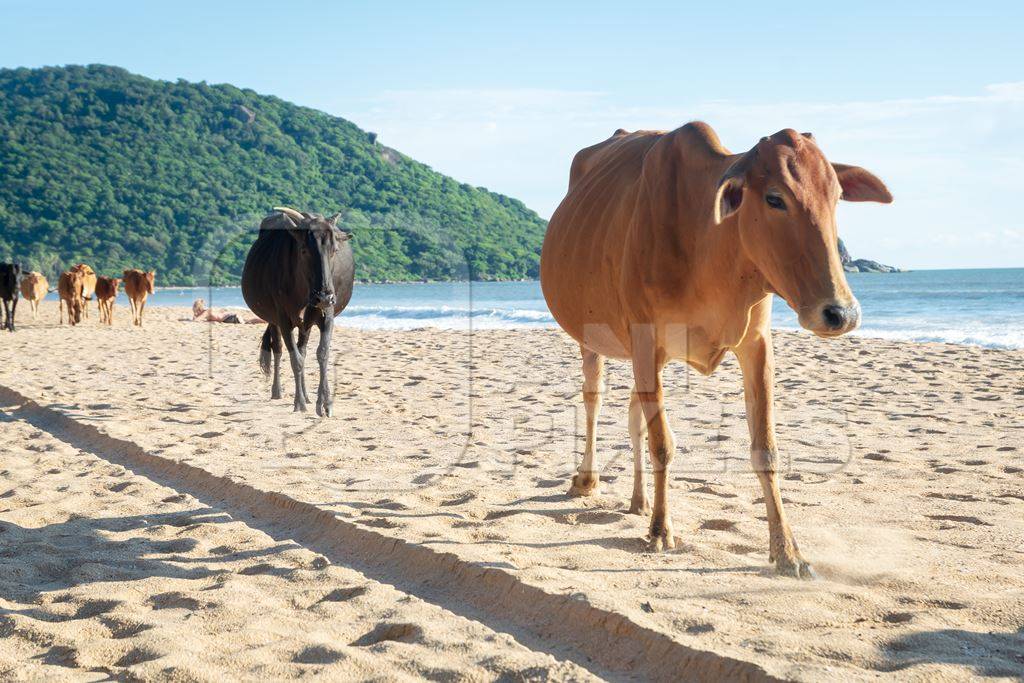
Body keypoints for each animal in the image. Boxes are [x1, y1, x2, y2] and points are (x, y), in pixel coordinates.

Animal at [544, 122, 888, 577]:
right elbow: (663, 444)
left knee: (634, 415)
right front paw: (661, 530)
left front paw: (787, 550)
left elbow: (765, 448)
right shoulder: (645, 340)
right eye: (774, 198)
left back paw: (640, 501)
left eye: (835, 196)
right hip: (593, 339)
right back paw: (587, 480)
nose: (841, 313)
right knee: (594, 400)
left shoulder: (756, 345)